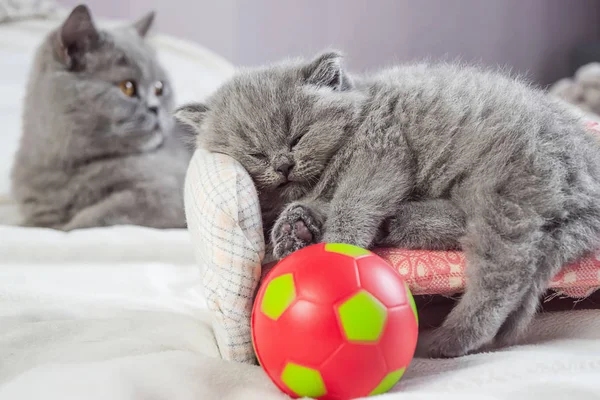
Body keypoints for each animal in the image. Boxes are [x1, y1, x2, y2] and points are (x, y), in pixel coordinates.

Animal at [11, 5, 190, 231]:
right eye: (127, 87)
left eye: (159, 88)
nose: (155, 108)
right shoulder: (39, 214)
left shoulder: (167, 193)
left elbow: (99, 214)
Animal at [172, 51, 600, 358]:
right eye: (256, 153)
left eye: (297, 136)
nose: (283, 164)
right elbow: (316, 208)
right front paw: (293, 230)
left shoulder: (380, 154)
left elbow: (352, 206)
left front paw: (336, 249)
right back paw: (399, 223)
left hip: (505, 191)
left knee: (504, 275)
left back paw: (446, 341)